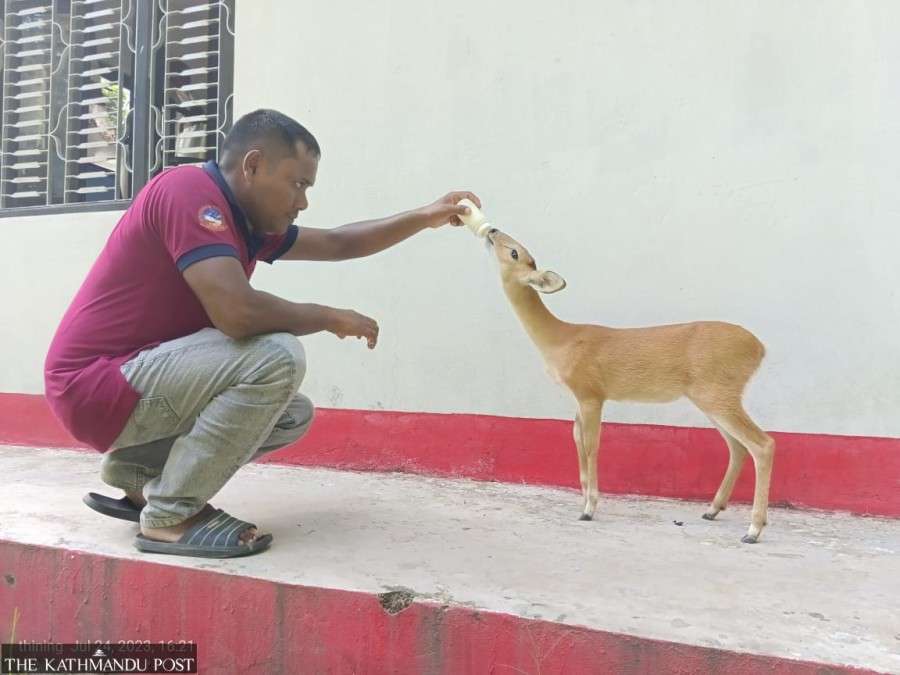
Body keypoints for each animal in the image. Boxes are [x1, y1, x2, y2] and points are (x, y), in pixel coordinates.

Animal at [486, 228, 772, 544]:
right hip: (712, 397)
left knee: (763, 444)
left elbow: (592, 446)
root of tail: (759, 349)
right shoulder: (579, 399)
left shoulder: (591, 393)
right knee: (738, 446)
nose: (492, 230)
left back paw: (753, 529)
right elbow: (577, 441)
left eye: (514, 252)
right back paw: (712, 510)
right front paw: (584, 501)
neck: (562, 340)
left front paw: (589, 508)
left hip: (717, 392)